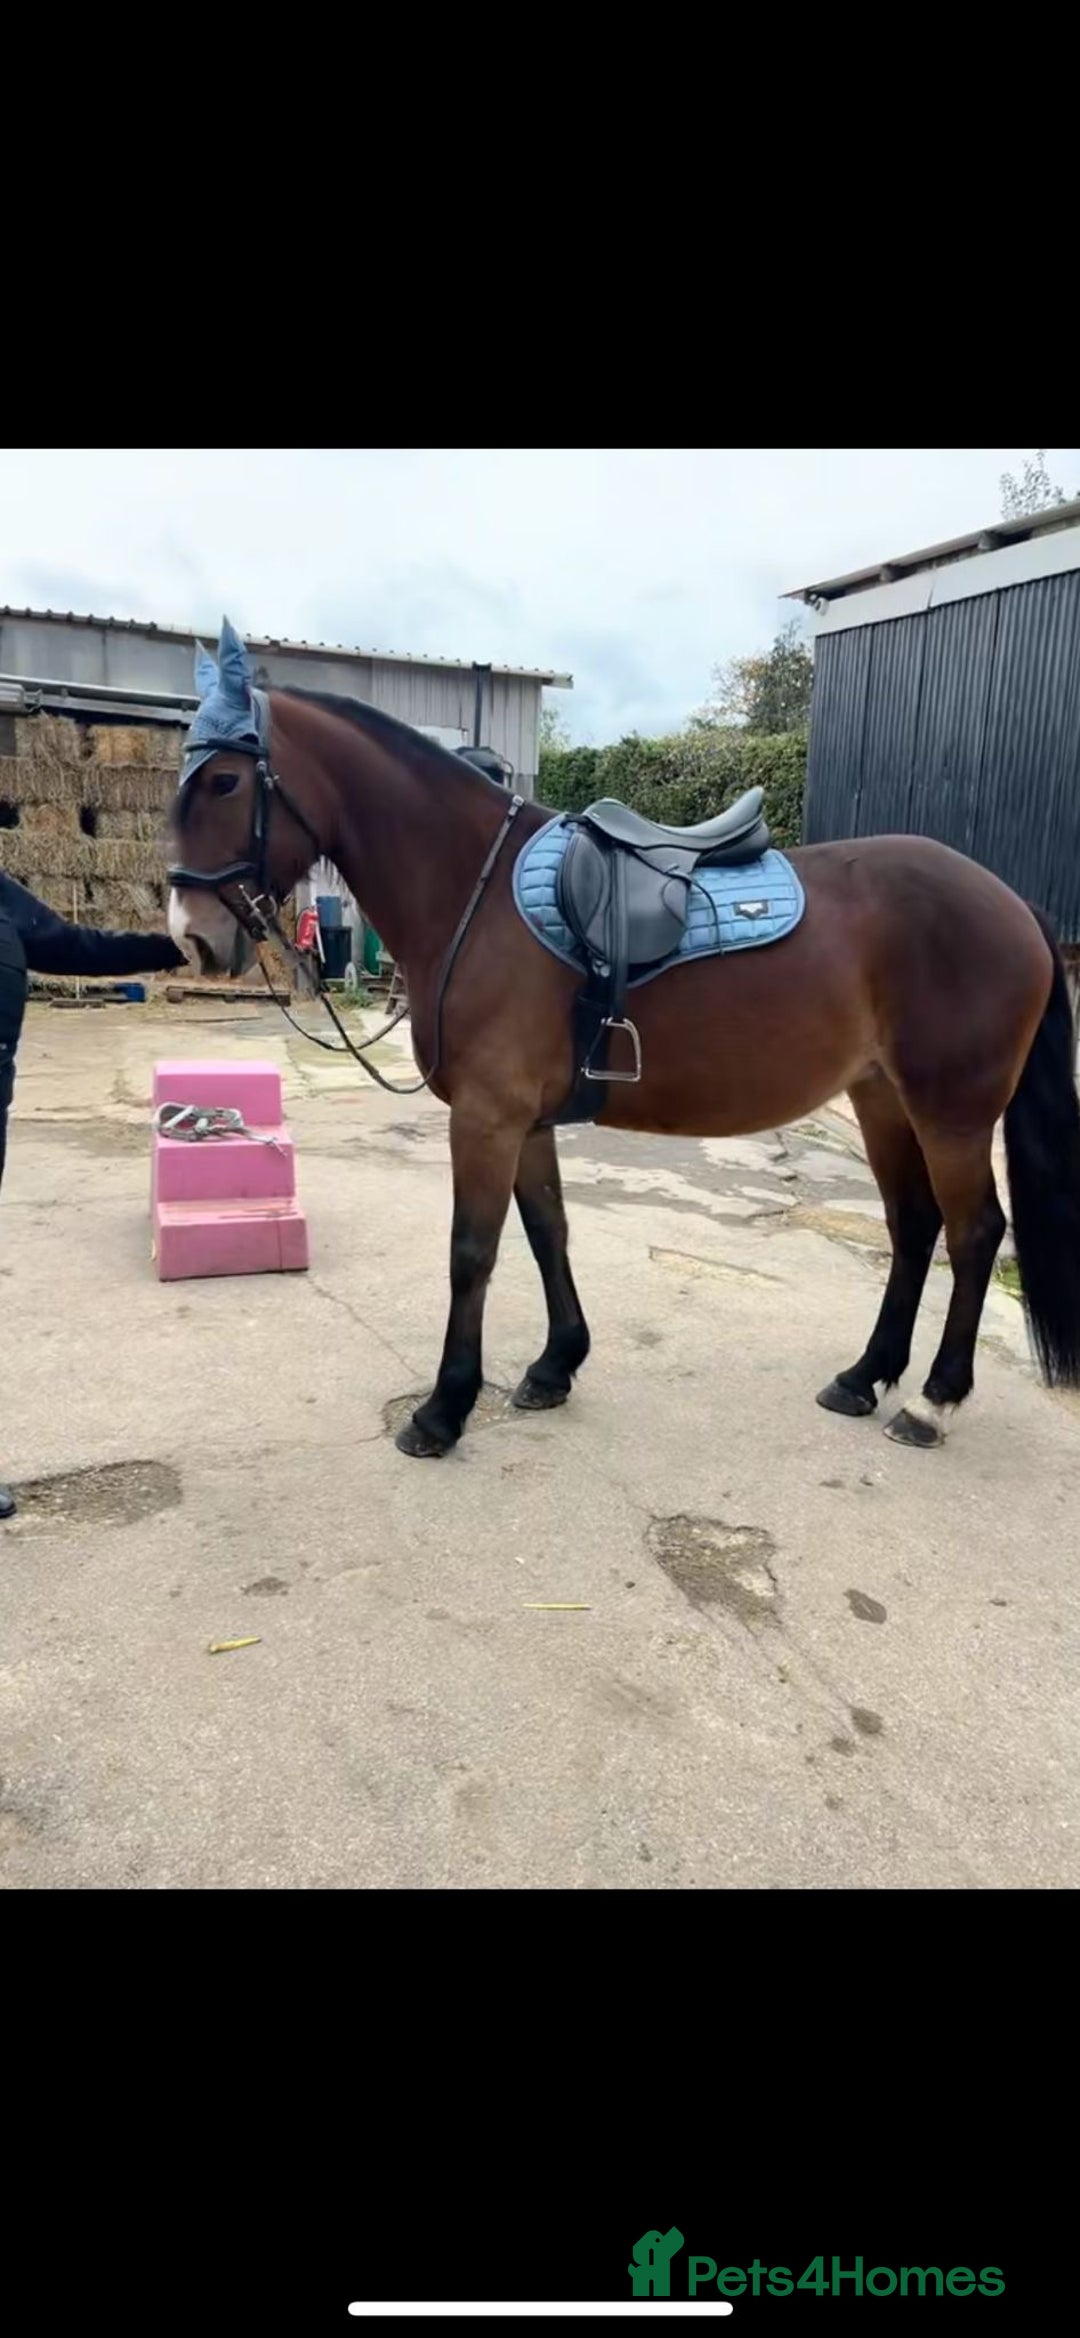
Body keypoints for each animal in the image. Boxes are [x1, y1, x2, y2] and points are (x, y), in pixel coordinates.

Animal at [166, 622, 1080, 1461]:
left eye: (223, 780)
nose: (192, 937)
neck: (474, 890)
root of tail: (1014, 902)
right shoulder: (524, 1121)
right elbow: (548, 1231)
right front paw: (555, 1365)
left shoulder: (487, 1118)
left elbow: (473, 1251)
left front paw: (444, 1408)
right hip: (882, 1098)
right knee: (913, 1225)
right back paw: (864, 1377)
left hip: (951, 1112)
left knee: (972, 1234)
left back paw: (932, 1401)